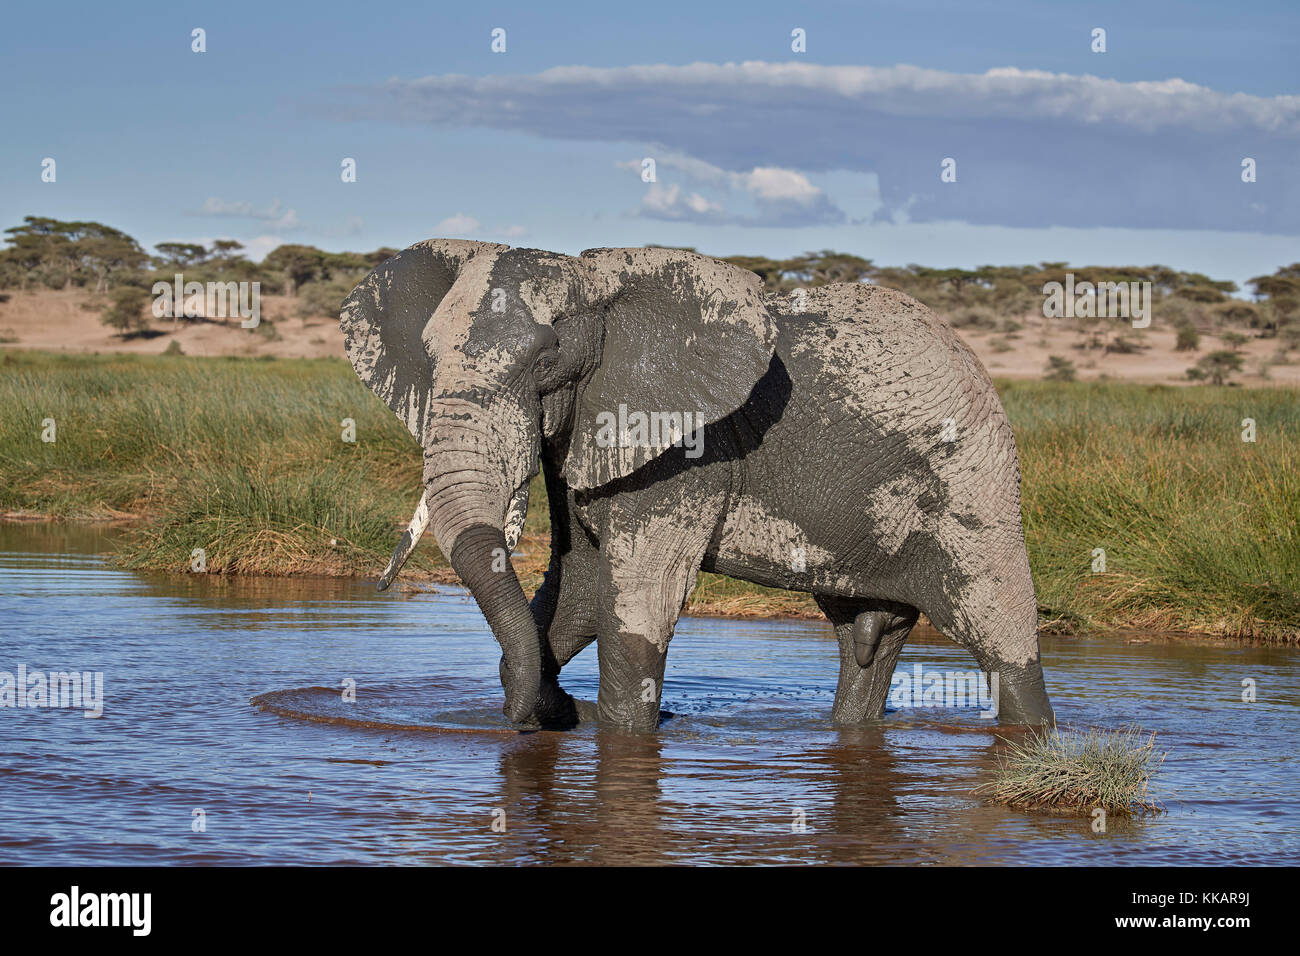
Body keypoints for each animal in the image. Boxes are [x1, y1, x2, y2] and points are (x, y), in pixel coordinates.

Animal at [338, 239, 1055, 733]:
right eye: (429, 361)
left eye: (545, 361)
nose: (551, 712)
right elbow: (578, 589)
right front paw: (550, 699)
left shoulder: (688, 449)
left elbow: (638, 603)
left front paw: (617, 731)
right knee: (866, 639)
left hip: (974, 485)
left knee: (1000, 633)